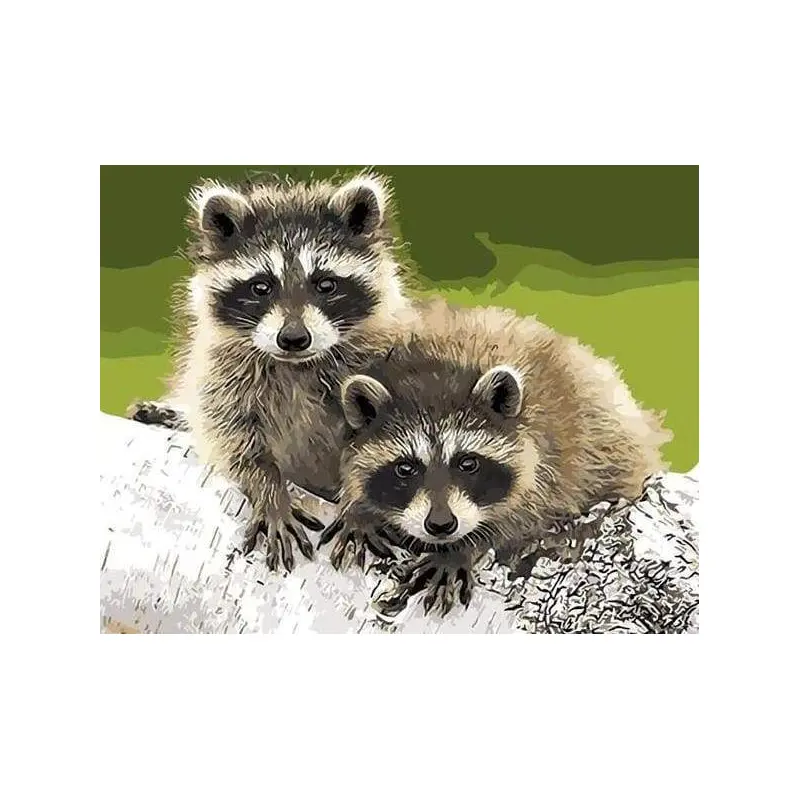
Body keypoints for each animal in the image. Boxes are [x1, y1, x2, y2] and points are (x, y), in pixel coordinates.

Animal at [130, 172, 417, 571]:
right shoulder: (222, 374)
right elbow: (233, 437)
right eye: (261, 286)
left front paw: (360, 506)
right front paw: (268, 488)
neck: (296, 365)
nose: (293, 338)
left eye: (325, 284)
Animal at [320, 300, 672, 615]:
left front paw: (466, 546)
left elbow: (526, 516)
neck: (439, 369)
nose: (441, 525)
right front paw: (359, 509)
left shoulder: (551, 459)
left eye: (468, 463)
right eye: (405, 468)